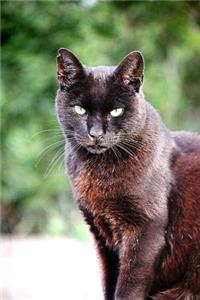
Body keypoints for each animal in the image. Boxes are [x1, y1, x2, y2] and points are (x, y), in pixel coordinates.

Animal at [55, 48, 200, 298]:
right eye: (80, 109)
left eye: (116, 111)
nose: (96, 134)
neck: (99, 172)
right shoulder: (102, 236)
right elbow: (109, 283)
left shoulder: (147, 231)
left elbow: (127, 287)